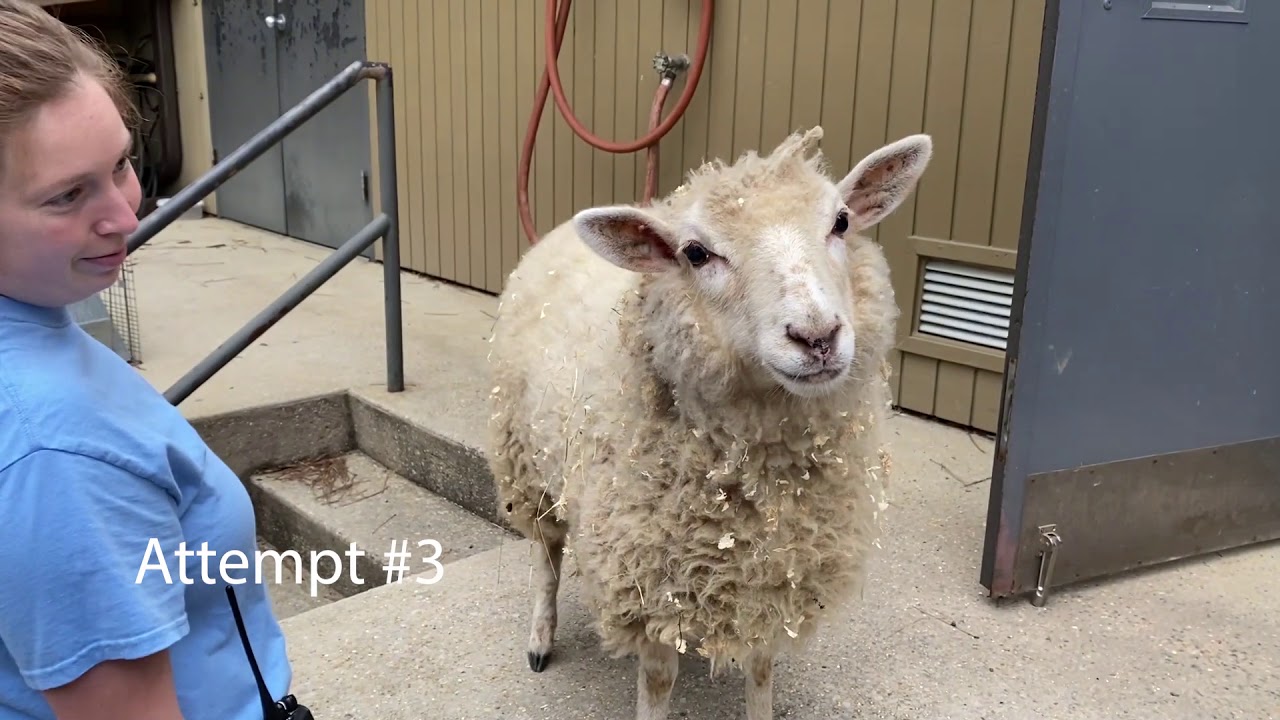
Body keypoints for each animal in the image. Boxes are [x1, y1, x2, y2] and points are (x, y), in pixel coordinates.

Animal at [485, 126, 932, 720]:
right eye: (696, 253)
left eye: (840, 222)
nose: (816, 337)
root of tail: (555, 233)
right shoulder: (647, 586)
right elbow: (657, 684)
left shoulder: (775, 579)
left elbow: (762, 672)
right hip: (524, 463)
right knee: (546, 555)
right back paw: (540, 638)